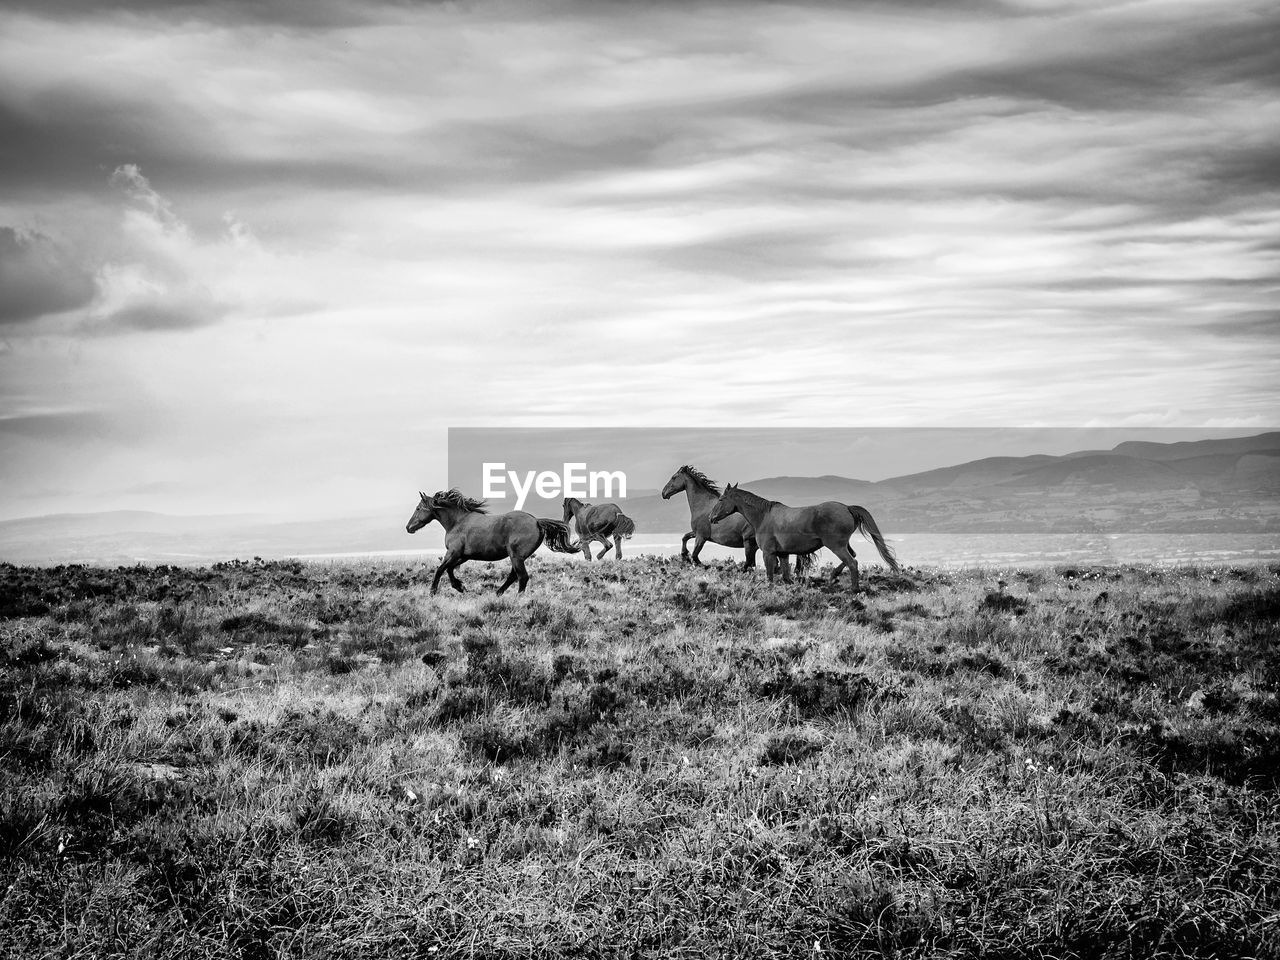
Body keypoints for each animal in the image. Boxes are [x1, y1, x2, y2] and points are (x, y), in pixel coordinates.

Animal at [404, 491, 581, 599]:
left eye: (418, 508)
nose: (408, 527)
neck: (457, 522)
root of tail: (537, 521)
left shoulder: (453, 553)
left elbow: (440, 569)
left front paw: (433, 592)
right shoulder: (463, 556)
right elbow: (449, 569)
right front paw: (460, 587)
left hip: (516, 556)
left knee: (522, 577)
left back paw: (517, 598)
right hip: (517, 557)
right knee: (513, 576)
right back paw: (498, 593)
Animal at [711, 483, 901, 591]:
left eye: (721, 500)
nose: (711, 518)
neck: (763, 516)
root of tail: (847, 508)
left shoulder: (768, 553)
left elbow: (770, 576)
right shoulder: (783, 554)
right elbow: (786, 576)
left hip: (836, 546)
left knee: (852, 562)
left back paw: (854, 589)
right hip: (843, 545)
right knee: (852, 557)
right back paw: (833, 577)